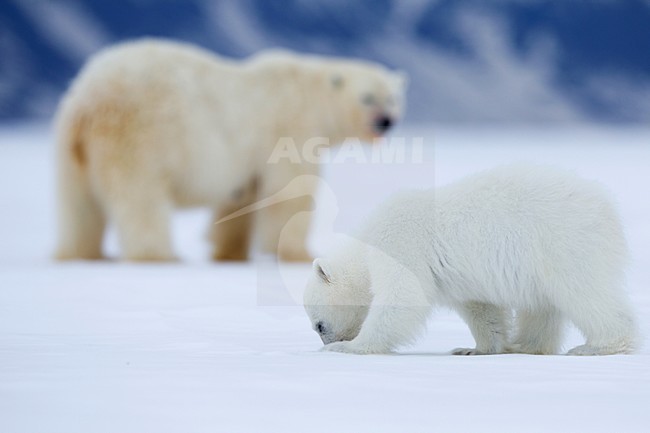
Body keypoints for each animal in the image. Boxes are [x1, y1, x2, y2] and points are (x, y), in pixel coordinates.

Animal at [53, 38, 407, 262]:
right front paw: (299, 254)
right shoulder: (290, 128)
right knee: (139, 197)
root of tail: (87, 100)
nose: (386, 121)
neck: (310, 94)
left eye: (391, 98)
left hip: (73, 147)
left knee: (79, 205)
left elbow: (241, 200)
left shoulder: (248, 159)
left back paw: (79, 253)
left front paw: (229, 253)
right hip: (138, 135)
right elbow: (288, 193)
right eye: (367, 98)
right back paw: (158, 254)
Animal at [304, 164, 639, 355]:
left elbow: (403, 296)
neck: (368, 242)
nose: (325, 342)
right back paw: (528, 346)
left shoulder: (402, 241)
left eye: (319, 325)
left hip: (564, 242)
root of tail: (606, 208)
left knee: (584, 292)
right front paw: (475, 349)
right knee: (542, 307)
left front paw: (348, 347)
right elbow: (481, 308)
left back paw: (597, 347)